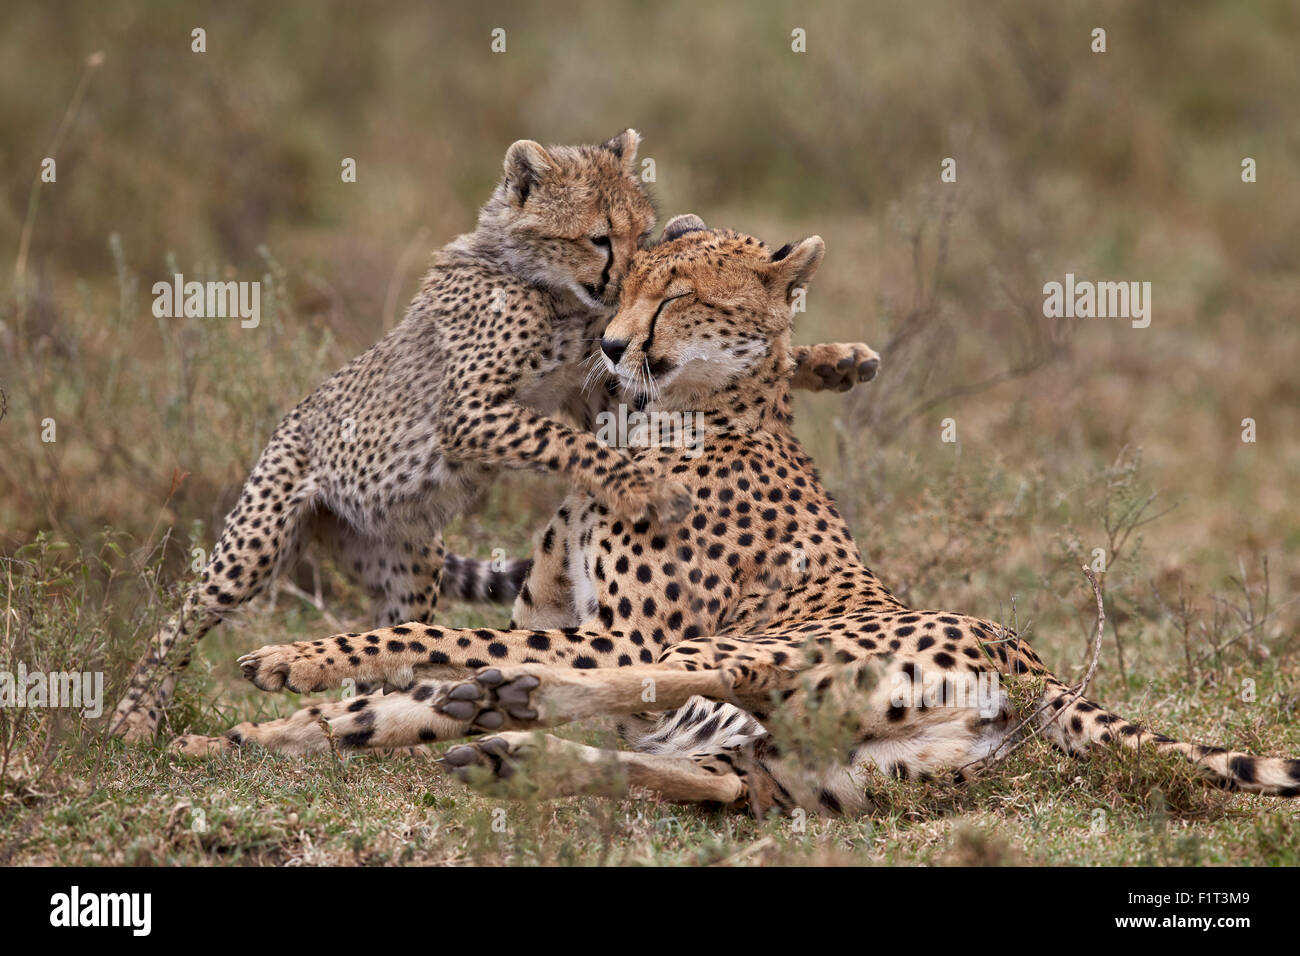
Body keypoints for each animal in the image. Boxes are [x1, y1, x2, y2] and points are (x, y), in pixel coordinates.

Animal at [111, 134, 878, 743]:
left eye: (646, 242)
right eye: (602, 239)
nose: (618, 304)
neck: (550, 286)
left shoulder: (593, 385)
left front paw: (831, 360)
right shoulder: (477, 409)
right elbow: (565, 440)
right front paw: (645, 484)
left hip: (404, 571)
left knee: (396, 646)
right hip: (258, 540)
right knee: (185, 618)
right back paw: (134, 715)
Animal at [175, 222, 1300, 816]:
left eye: (678, 296)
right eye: (620, 284)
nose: (612, 346)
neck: (682, 415)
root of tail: (1029, 662)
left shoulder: (614, 627)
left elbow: (439, 638)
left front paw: (297, 665)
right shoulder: (564, 606)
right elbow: (423, 663)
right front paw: (245, 728)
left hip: (774, 658)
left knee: (664, 677)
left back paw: (494, 707)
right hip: (815, 767)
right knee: (713, 779)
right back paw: (497, 740)